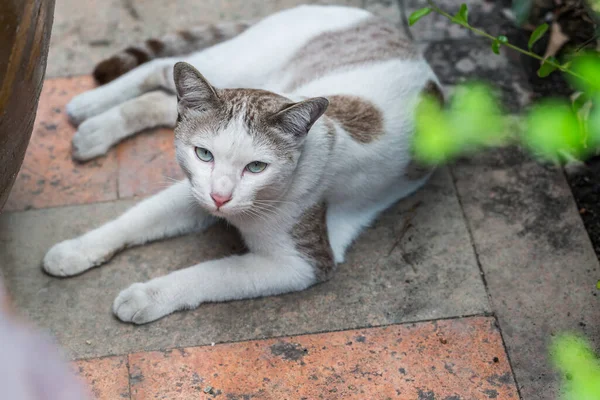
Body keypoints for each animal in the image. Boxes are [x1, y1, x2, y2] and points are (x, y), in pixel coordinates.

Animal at [42, 4, 442, 324]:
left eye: (257, 167)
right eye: (204, 154)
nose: (220, 197)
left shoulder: (299, 263)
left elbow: (211, 272)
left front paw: (145, 295)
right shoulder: (193, 189)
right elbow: (134, 219)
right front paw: (75, 250)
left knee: (161, 97)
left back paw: (95, 126)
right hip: (240, 66)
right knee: (159, 69)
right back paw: (90, 106)